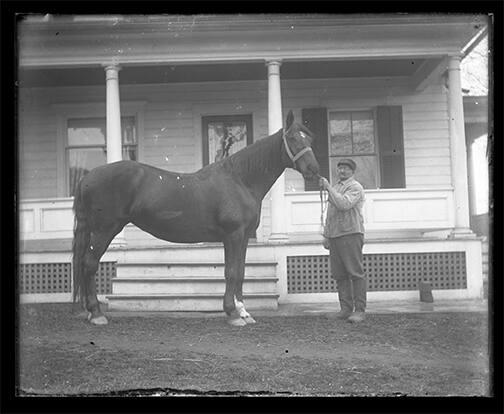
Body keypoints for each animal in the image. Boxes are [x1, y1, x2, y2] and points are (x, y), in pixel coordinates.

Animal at [71, 110, 318, 326]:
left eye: (309, 138)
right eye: (292, 138)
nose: (314, 170)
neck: (239, 180)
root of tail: (87, 178)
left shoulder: (244, 237)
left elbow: (240, 272)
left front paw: (244, 312)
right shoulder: (233, 235)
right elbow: (231, 272)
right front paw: (232, 314)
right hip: (104, 230)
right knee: (90, 264)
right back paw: (97, 314)